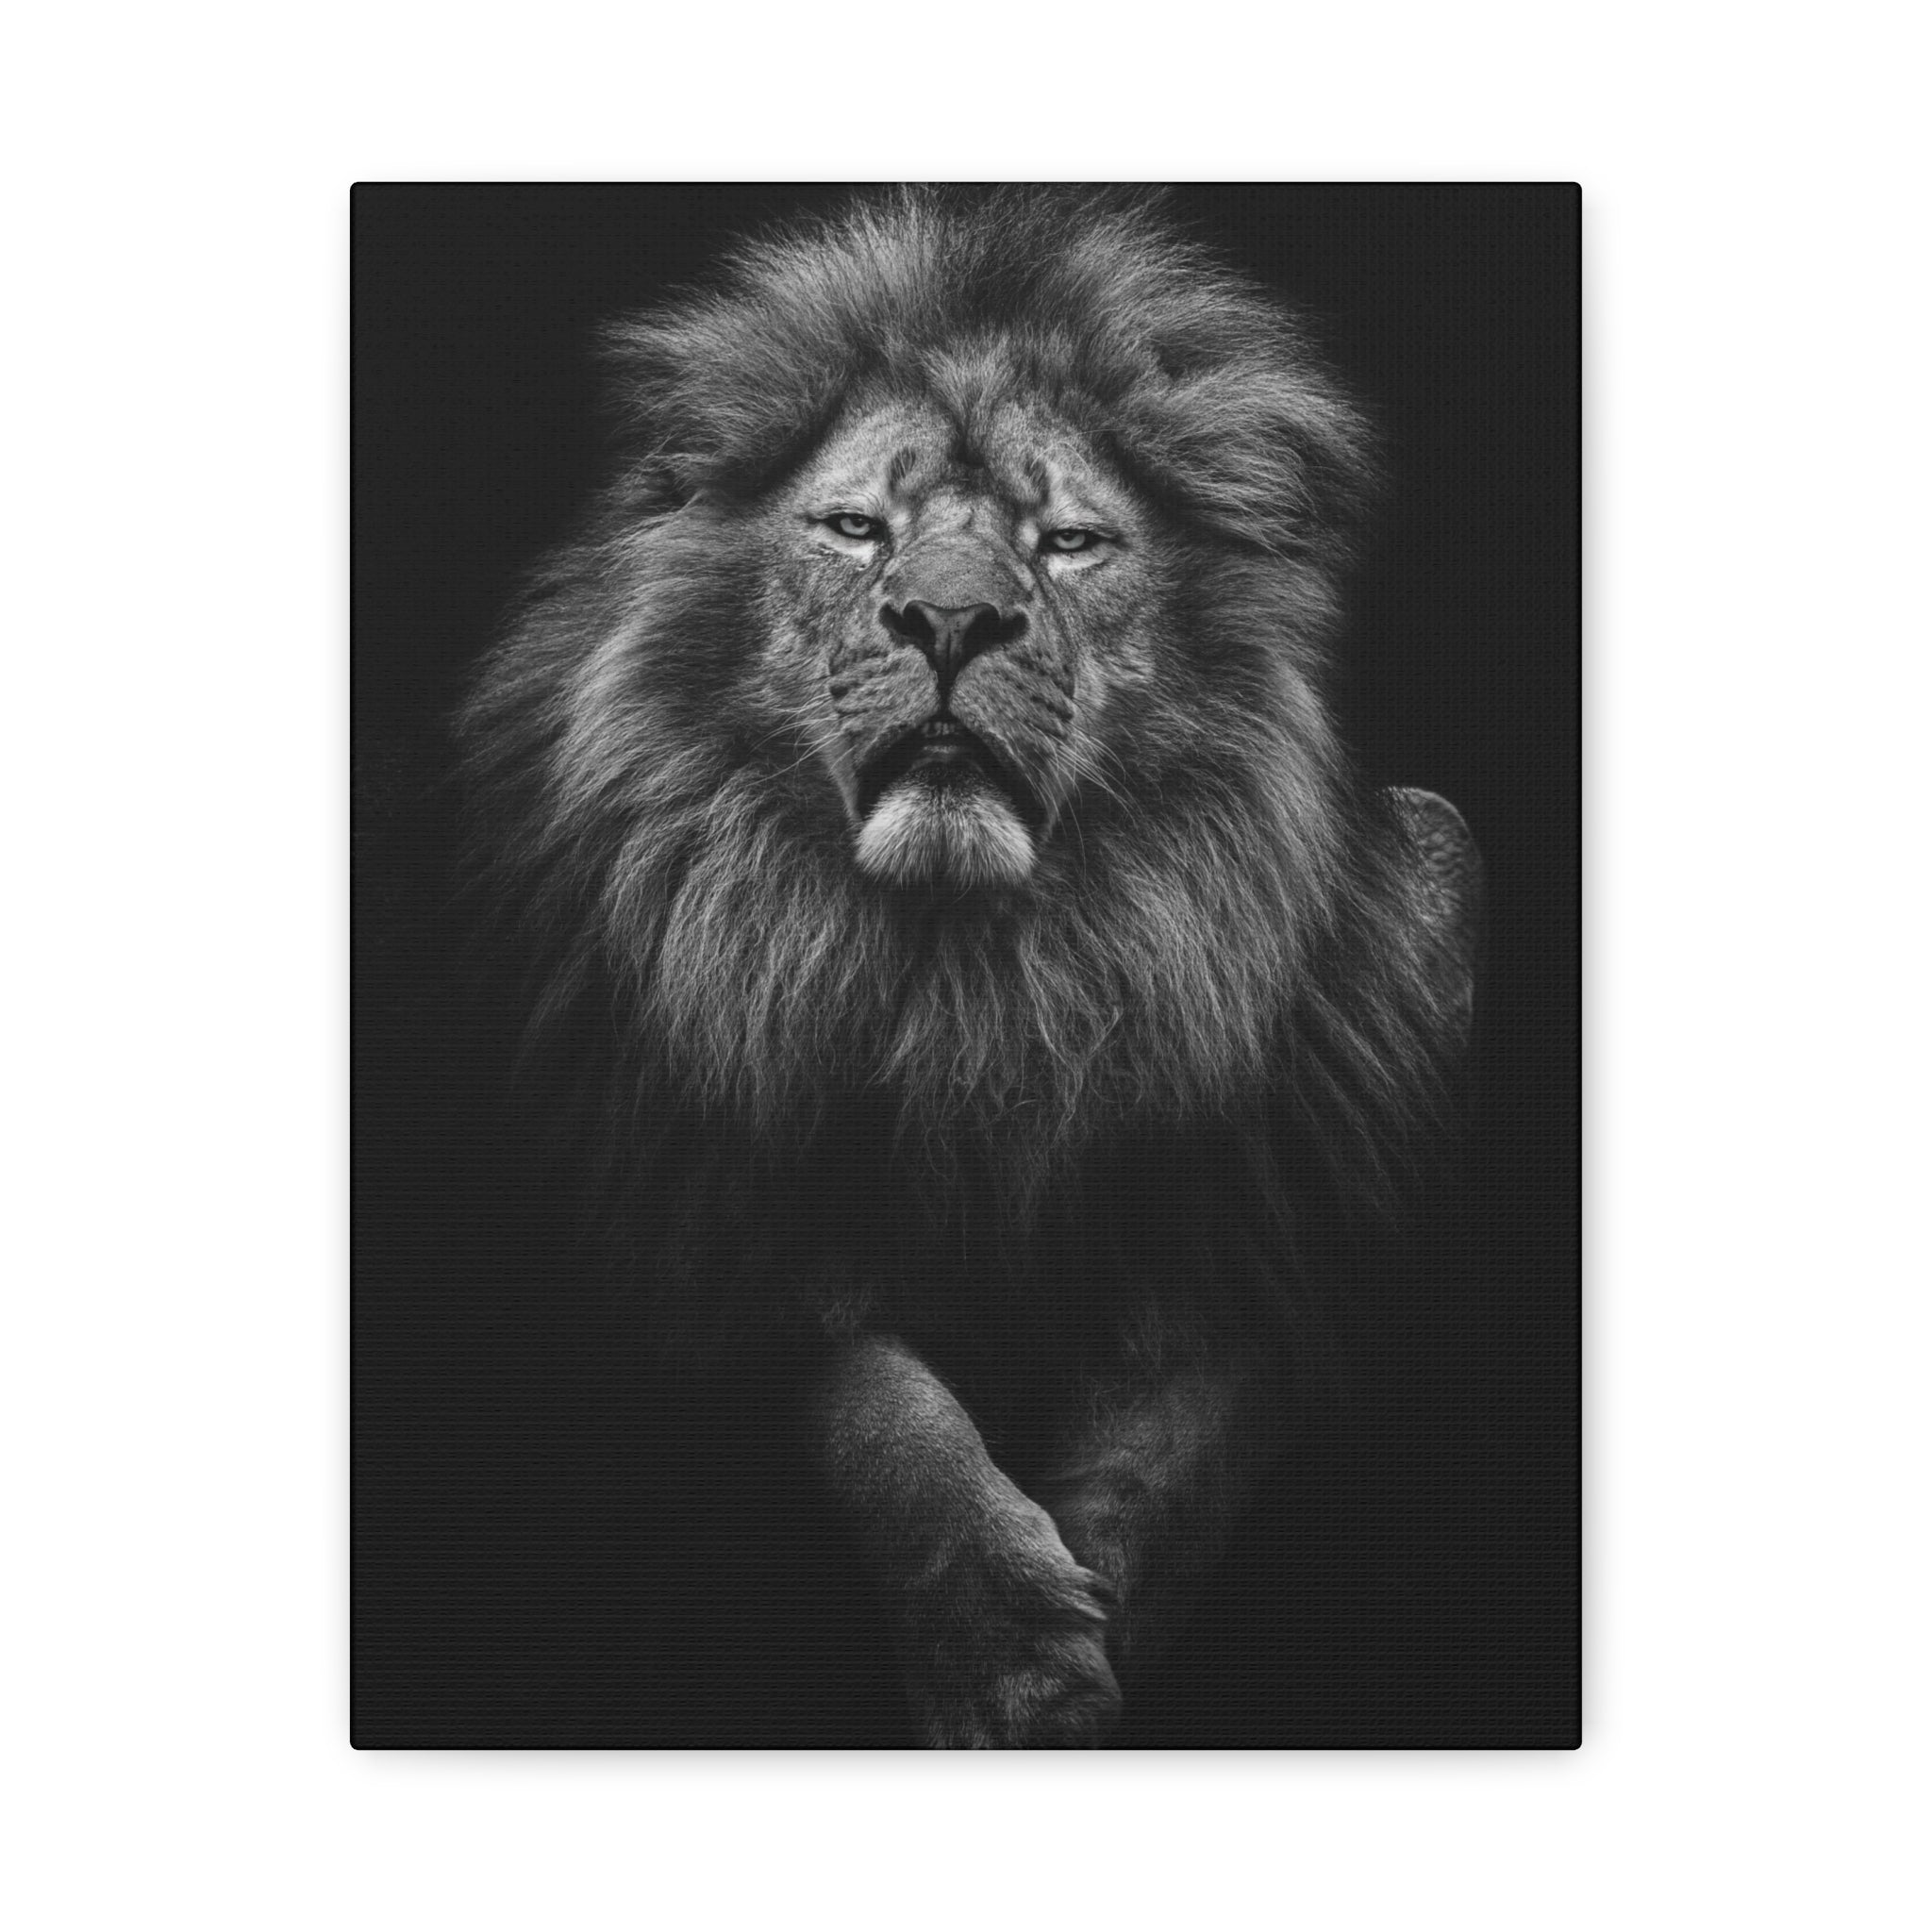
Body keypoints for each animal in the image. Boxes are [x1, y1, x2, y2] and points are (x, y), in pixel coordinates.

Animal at [456, 186, 1480, 1747]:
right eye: (853, 527)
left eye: (1068, 543)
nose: (949, 621)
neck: (973, 982)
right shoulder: (711, 1211)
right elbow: (884, 1412)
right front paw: (1007, 1655)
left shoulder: (1281, 1208)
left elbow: (1182, 1434)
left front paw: (1090, 1626)